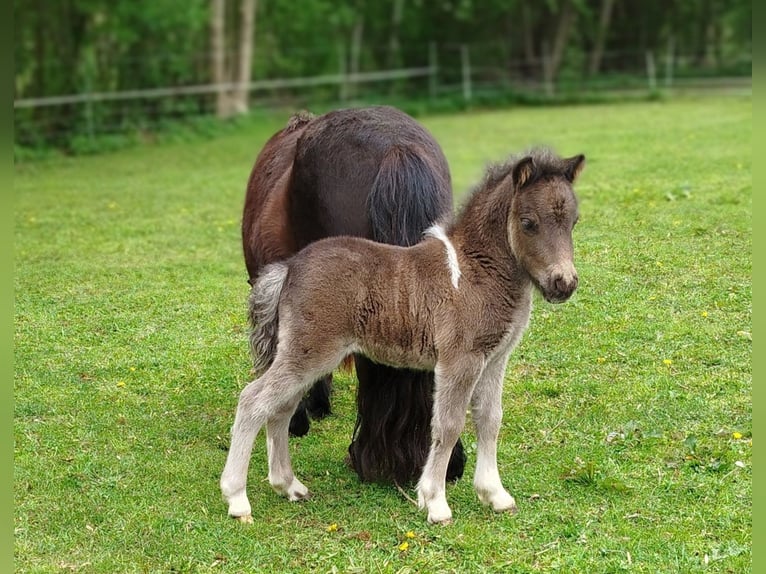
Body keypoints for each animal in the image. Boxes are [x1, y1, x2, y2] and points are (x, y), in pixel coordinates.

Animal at [221, 148, 585, 524]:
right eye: (528, 223)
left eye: (574, 222)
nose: (564, 283)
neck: (475, 270)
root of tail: (289, 267)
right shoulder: (460, 360)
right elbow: (448, 425)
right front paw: (435, 502)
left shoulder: (495, 358)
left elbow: (489, 419)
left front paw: (494, 494)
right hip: (310, 353)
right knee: (253, 401)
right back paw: (237, 499)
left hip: (307, 356)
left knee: (280, 408)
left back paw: (288, 486)